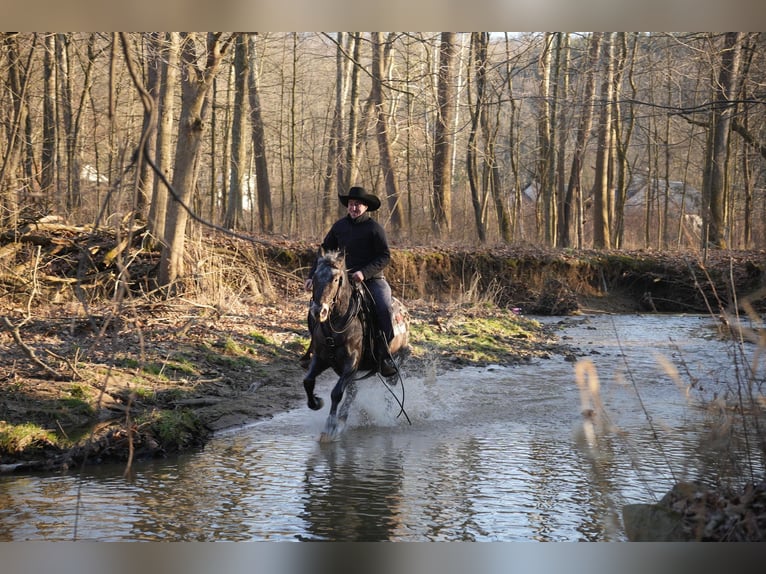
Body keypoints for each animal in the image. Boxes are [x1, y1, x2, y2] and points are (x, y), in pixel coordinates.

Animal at [302, 249, 410, 442]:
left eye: (335, 279)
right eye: (314, 277)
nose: (318, 311)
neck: (336, 327)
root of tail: (404, 312)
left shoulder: (350, 365)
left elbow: (336, 393)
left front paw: (330, 427)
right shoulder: (321, 360)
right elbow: (308, 381)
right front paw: (316, 403)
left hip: (396, 361)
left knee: (389, 389)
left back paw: (387, 416)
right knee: (352, 392)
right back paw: (343, 418)